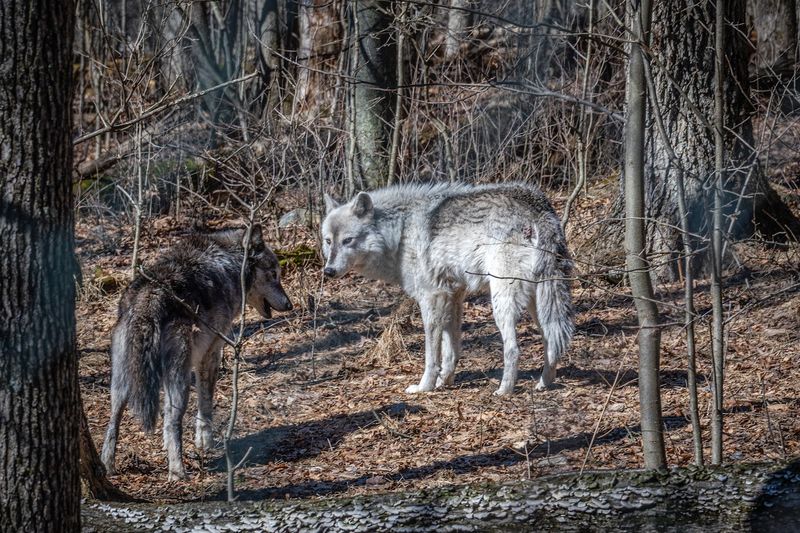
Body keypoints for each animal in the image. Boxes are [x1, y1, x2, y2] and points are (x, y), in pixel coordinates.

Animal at [100, 225, 292, 480]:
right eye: (274, 275)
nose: (290, 305)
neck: (231, 263)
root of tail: (149, 298)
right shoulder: (210, 355)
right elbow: (205, 404)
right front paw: (205, 443)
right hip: (180, 380)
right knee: (173, 421)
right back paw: (177, 472)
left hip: (121, 382)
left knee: (113, 420)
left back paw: (107, 466)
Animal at [321, 182, 573, 395]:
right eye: (328, 241)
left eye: (348, 240)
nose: (328, 271)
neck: (400, 231)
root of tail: (537, 205)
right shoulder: (453, 296)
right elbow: (451, 349)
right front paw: (445, 382)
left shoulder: (431, 298)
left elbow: (432, 355)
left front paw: (425, 386)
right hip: (539, 304)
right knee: (552, 342)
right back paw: (543, 383)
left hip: (501, 302)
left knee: (513, 349)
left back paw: (504, 390)